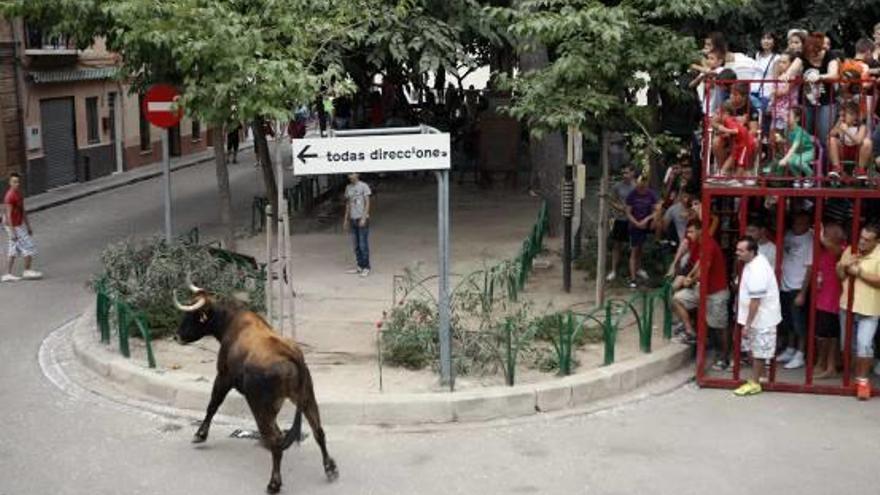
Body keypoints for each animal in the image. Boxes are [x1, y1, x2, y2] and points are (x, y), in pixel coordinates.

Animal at [174, 284, 338, 494]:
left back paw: (274, 483)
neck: (231, 322)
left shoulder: (223, 377)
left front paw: (200, 435)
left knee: (276, 439)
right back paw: (329, 468)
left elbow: (213, 405)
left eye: (192, 315)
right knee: (317, 431)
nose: (177, 336)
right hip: (306, 397)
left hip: (260, 405)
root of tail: (289, 352)